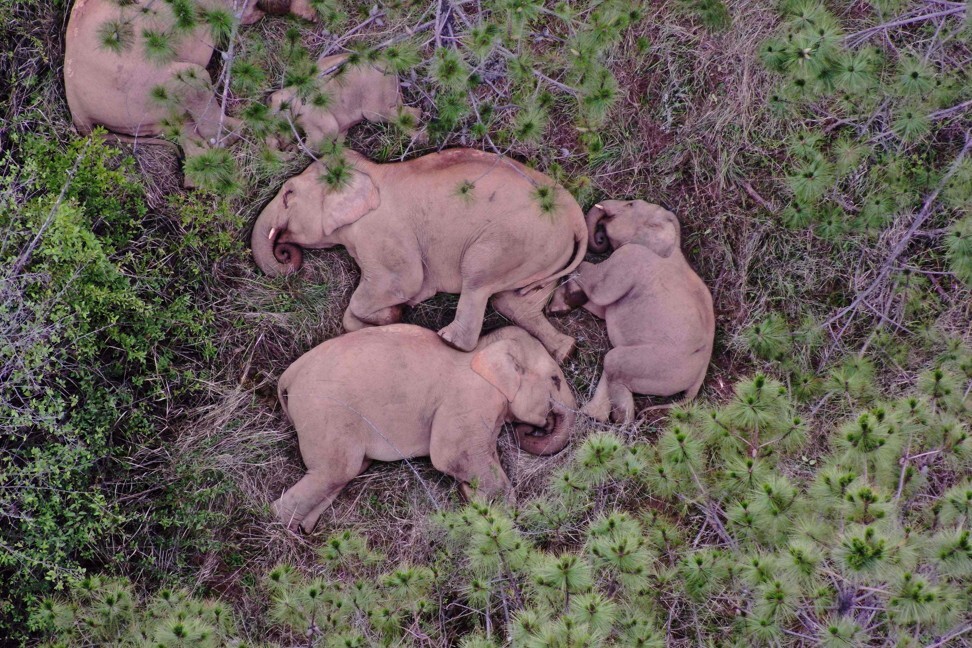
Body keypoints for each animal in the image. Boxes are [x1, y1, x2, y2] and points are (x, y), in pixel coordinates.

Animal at [252, 147, 584, 362]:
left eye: (289, 194)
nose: (285, 251)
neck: (372, 171)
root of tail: (576, 215)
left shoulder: (383, 232)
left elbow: (404, 281)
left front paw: (395, 312)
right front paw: (391, 316)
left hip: (515, 238)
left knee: (478, 278)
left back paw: (448, 340)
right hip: (544, 252)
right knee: (514, 301)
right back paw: (566, 351)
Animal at [266, 53, 422, 152]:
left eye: (277, 133)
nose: (284, 147)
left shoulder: (308, 111)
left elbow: (327, 132)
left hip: (375, 89)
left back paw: (420, 138)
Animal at [272, 324, 576, 532]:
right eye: (555, 379)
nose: (536, 427)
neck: (485, 347)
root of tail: (290, 374)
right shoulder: (470, 397)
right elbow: (452, 455)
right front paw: (499, 517)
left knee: (342, 473)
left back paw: (303, 528)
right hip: (325, 411)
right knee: (336, 470)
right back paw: (279, 524)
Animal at [552, 200, 716, 422]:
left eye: (630, 204)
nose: (600, 236)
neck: (674, 245)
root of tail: (698, 379)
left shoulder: (630, 257)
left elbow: (598, 289)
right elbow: (601, 307)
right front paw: (562, 304)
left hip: (659, 364)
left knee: (613, 361)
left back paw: (620, 419)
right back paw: (594, 416)